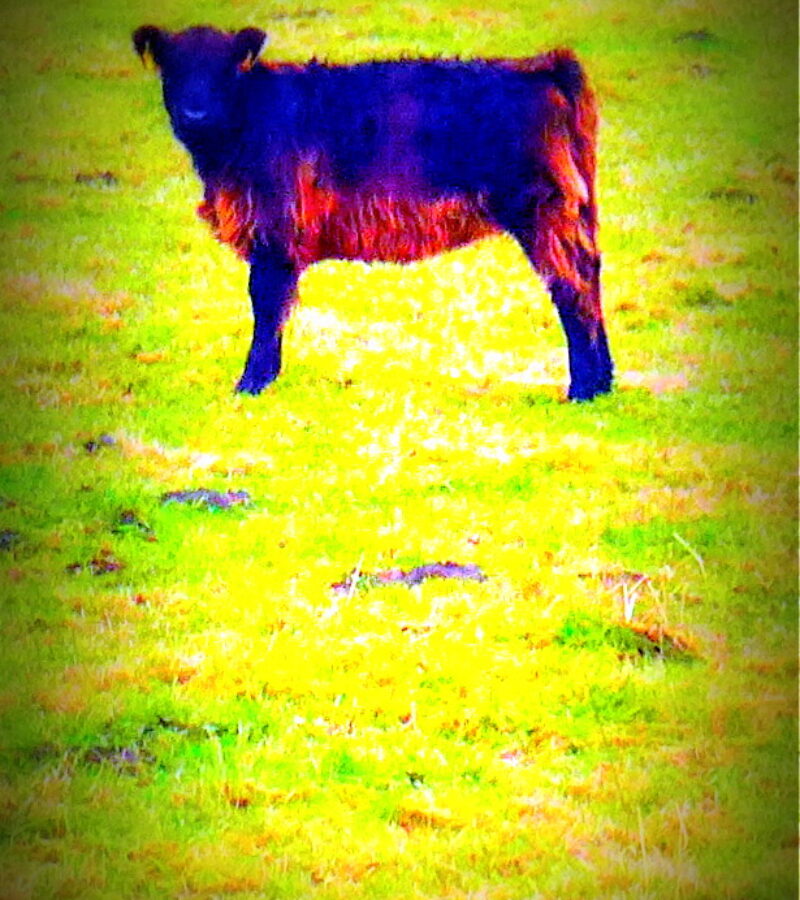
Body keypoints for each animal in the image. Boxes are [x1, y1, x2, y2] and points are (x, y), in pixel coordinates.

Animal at [132, 25, 612, 400]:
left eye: (224, 70)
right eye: (174, 68)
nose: (195, 112)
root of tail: (542, 66)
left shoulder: (274, 228)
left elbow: (266, 304)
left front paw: (252, 383)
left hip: (543, 209)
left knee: (571, 286)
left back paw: (583, 389)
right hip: (574, 210)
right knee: (589, 276)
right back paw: (603, 382)